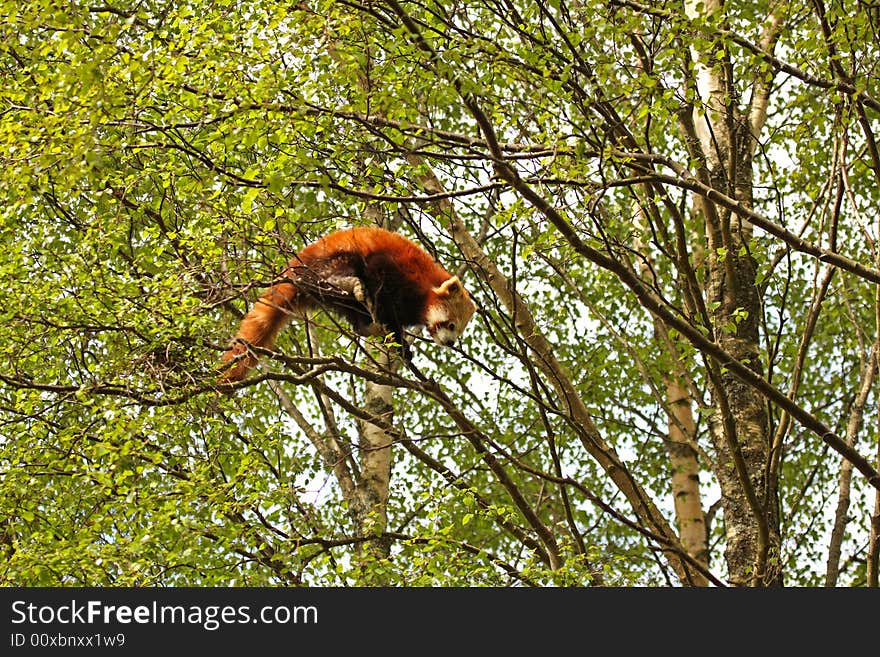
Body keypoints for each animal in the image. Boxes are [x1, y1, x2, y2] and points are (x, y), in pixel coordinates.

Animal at [223, 226, 478, 382]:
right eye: (451, 324)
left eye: (458, 331)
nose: (450, 342)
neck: (425, 288)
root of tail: (295, 264)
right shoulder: (393, 268)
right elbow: (383, 298)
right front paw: (399, 343)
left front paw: (394, 337)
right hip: (330, 258)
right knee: (336, 272)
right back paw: (351, 284)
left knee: (352, 315)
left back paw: (368, 325)